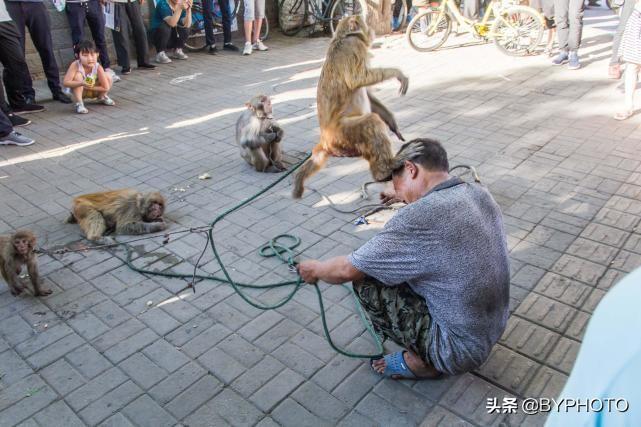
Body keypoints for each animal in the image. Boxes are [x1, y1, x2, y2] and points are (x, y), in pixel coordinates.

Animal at [292, 14, 408, 199]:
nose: (371, 29)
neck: (342, 37)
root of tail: (325, 140)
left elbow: (366, 91)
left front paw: (391, 121)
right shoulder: (354, 46)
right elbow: (357, 79)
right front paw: (397, 73)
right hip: (341, 136)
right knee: (370, 122)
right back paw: (384, 170)